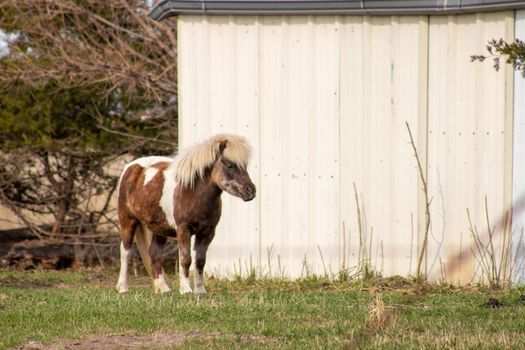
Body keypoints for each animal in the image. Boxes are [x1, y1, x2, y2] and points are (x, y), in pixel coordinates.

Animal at [115, 135, 255, 294]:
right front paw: (186, 289)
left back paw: (164, 289)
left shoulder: (207, 232)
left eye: (244, 166)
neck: (191, 191)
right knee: (125, 251)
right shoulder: (183, 230)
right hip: (128, 221)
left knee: (154, 254)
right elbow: (185, 259)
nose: (251, 191)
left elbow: (200, 261)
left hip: (160, 228)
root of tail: (130, 167)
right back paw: (123, 288)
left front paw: (200, 291)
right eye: (230, 165)